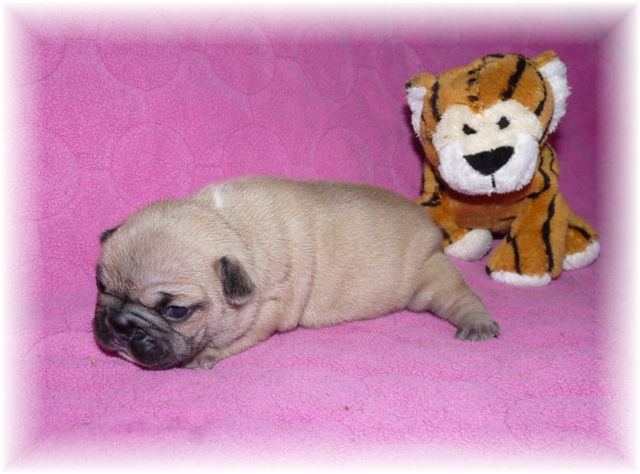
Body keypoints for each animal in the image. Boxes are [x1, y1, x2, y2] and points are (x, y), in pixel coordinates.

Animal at [93, 176, 500, 370]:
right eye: (100, 285)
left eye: (176, 311)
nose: (119, 325)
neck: (229, 227)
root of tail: (431, 225)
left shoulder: (267, 309)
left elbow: (233, 339)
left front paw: (203, 355)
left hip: (429, 275)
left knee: (458, 295)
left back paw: (477, 323)